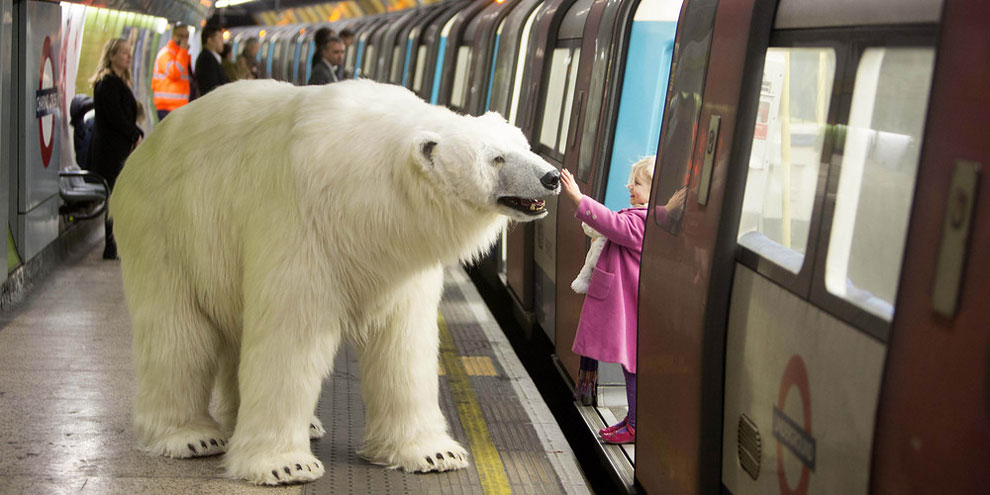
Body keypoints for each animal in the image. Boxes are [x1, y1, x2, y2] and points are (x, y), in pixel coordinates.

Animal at [110, 79, 560, 486]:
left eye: (523, 145)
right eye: (497, 158)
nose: (552, 177)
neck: (365, 194)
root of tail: (143, 151)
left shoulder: (399, 260)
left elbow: (404, 342)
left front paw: (435, 454)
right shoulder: (301, 224)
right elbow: (289, 338)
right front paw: (285, 466)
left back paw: (297, 424)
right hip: (165, 230)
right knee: (178, 334)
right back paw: (191, 437)